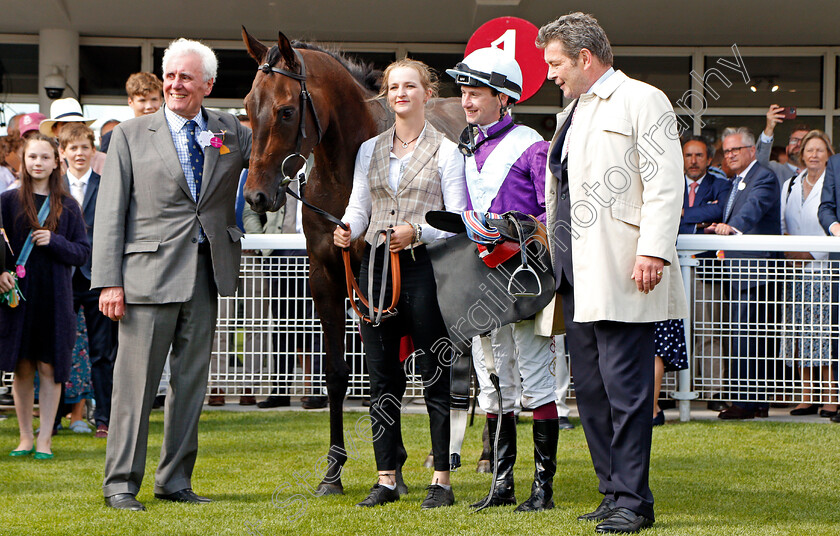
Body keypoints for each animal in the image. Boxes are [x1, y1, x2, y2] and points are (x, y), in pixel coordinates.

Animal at [241, 27, 466, 492]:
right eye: (249, 108)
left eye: (286, 111)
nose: (256, 196)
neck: (342, 171)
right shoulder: (326, 277)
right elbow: (339, 372)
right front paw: (334, 471)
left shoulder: (373, 278)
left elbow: (388, 373)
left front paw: (394, 467)